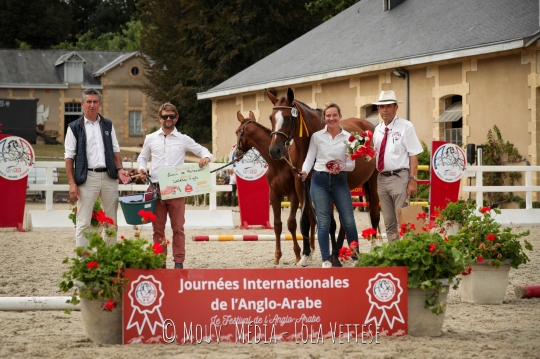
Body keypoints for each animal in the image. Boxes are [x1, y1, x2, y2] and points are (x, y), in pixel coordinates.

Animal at [233, 111, 316, 266]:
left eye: (237, 131)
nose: (236, 153)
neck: (279, 163)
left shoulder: (293, 195)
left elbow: (291, 223)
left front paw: (297, 255)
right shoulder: (274, 194)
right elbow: (277, 225)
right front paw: (277, 257)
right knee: (313, 217)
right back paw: (311, 251)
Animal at [266, 87, 380, 268]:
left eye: (288, 117)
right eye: (271, 118)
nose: (274, 151)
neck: (307, 145)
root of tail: (369, 126)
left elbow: (331, 224)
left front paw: (333, 258)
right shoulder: (301, 183)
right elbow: (305, 220)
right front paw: (305, 255)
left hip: (373, 181)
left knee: (374, 212)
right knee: (345, 219)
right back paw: (348, 250)